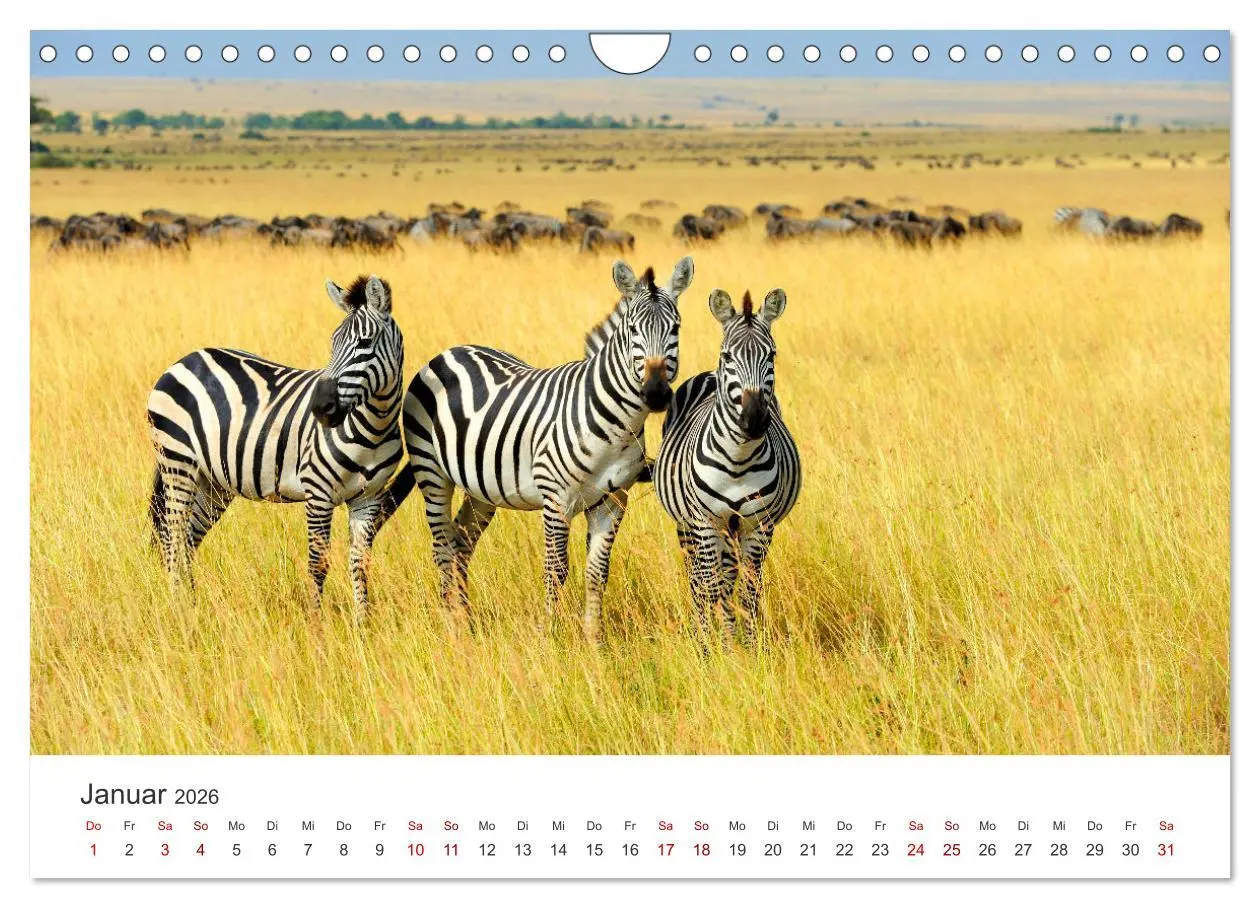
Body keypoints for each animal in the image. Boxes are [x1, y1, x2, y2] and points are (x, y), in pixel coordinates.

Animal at [146, 274, 405, 621]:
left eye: (365, 343)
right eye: (333, 343)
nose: (321, 407)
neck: (373, 427)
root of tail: (186, 359)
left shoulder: (369, 498)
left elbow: (360, 564)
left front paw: (362, 626)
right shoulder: (318, 493)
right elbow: (318, 564)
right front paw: (316, 625)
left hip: (212, 483)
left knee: (187, 541)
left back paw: (193, 609)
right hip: (178, 465)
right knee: (172, 539)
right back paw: (179, 612)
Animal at [394, 256, 693, 643]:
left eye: (676, 328)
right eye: (632, 329)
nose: (655, 392)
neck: (615, 423)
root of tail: (449, 351)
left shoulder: (612, 502)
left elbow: (598, 573)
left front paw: (594, 641)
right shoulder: (555, 499)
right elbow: (556, 569)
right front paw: (549, 637)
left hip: (481, 488)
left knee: (460, 543)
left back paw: (467, 622)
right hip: (432, 474)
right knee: (442, 547)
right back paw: (453, 627)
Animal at [652, 287, 801, 643]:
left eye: (771, 355)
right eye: (728, 356)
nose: (754, 419)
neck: (738, 459)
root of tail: (707, 373)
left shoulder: (759, 525)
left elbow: (747, 590)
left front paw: (747, 645)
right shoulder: (704, 522)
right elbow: (710, 587)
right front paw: (713, 647)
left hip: (733, 530)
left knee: (730, 578)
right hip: (688, 526)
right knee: (697, 578)